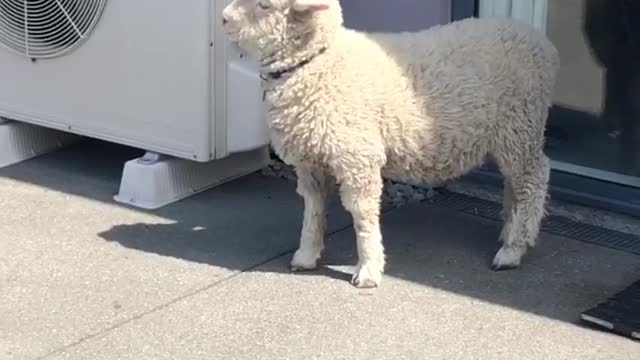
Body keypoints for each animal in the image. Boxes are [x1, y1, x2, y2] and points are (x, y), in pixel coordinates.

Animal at [221, 0, 560, 286]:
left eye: (265, 6)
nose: (223, 17)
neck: (319, 63)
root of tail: (540, 43)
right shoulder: (311, 159)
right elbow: (312, 209)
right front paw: (306, 255)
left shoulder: (357, 156)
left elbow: (362, 214)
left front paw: (369, 269)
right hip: (510, 134)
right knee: (516, 182)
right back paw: (508, 231)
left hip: (520, 124)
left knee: (534, 179)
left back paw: (514, 248)